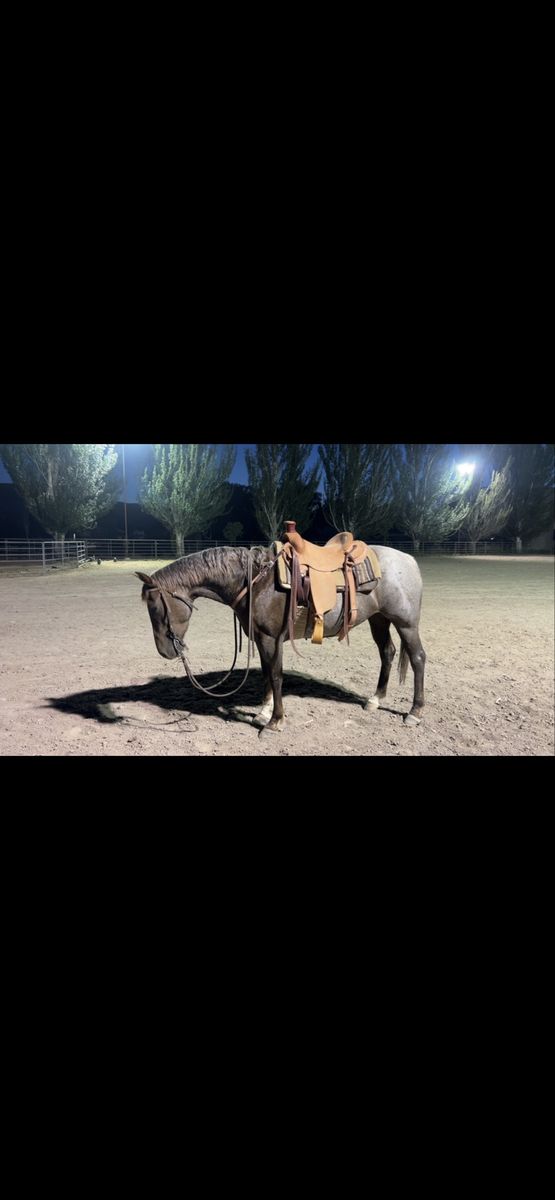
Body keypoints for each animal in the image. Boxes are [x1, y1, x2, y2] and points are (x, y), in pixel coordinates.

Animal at [136, 545, 426, 734]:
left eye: (155, 607)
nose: (165, 651)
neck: (255, 582)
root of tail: (409, 560)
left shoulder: (271, 638)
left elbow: (275, 675)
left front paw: (275, 722)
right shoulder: (260, 638)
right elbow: (266, 673)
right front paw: (263, 713)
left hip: (406, 623)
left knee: (417, 658)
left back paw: (415, 712)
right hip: (379, 619)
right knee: (387, 652)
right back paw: (375, 700)